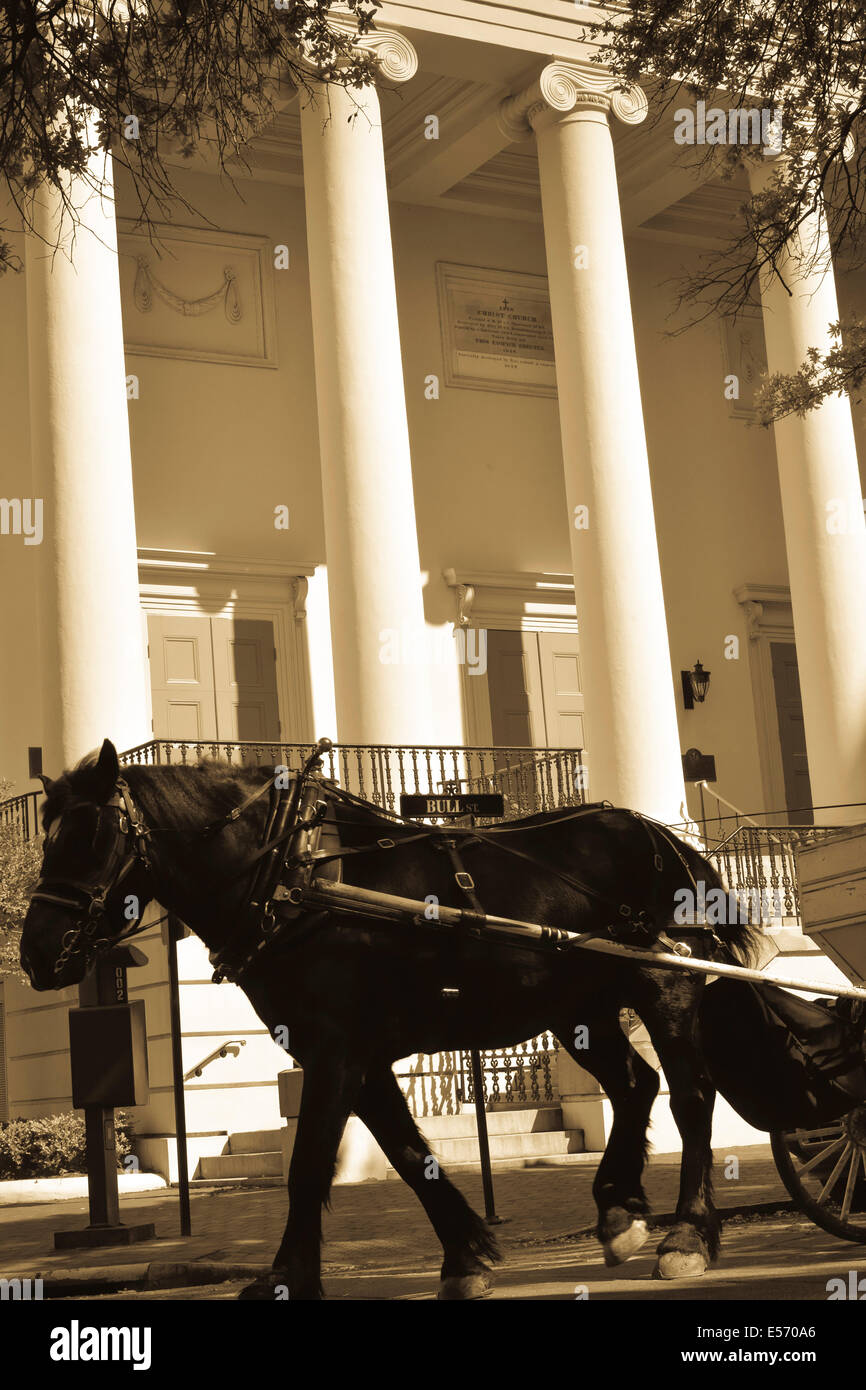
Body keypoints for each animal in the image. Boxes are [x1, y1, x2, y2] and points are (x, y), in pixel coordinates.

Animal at [22, 745, 756, 1295]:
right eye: (45, 837)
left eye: (91, 835)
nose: (34, 953)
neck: (289, 878)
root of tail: (660, 837)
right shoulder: (356, 1055)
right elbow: (407, 1153)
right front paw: (466, 1255)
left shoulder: (335, 1049)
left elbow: (310, 1165)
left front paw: (286, 1277)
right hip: (580, 1009)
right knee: (635, 1084)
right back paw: (618, 1211)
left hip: (665, 985)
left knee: (691, 1098)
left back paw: (687, 1235)